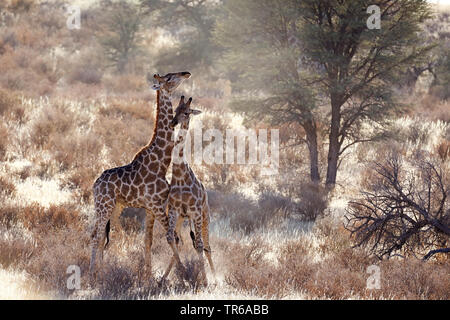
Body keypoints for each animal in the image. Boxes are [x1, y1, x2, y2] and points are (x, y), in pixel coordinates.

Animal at [89, 71, 191, 276]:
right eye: (169, 78)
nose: (186, 73)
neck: (161, 163)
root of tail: (95, 184)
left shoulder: (150, 208)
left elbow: (148, 241)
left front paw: (148, 277)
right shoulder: (157, 206)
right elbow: (172, 237)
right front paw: (182, 273)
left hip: (113, 207)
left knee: (100, 235)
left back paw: (100, 271)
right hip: (104, 205)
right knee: (96, 236)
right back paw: (91, 274)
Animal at [163, 96, 215, 284]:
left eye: (186, 112)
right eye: (175, 109)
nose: (173, 122)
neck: (180, 176)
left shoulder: (195, 212)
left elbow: (199, 246)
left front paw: (205, 281)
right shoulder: (174, 210)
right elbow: (170, 238)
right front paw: (183, 271)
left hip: (205, 218)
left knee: (207, 246)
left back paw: (215, 278)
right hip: (181, 219)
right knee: (178, 241)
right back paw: (166, 277)